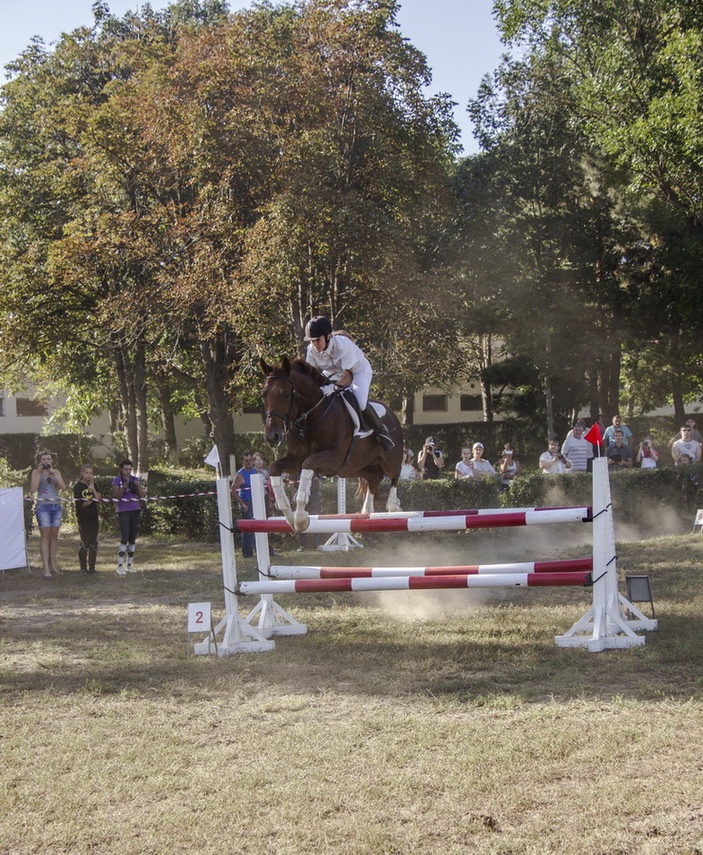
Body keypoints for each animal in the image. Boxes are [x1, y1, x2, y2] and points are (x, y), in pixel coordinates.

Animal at [262, 352, 404, 528]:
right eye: (264, 394)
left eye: (286, 394)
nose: (272, 436)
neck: (311, 417)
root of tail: (392, 414)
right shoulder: (296, 459)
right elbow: (275, 468)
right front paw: (290, 517)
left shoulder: (335, 458)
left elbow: (308, 464)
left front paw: (301, 519)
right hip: (357, 467)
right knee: (373, 478)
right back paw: (366, 510)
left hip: (389, 460)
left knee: (395, 473)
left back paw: (393, 505)